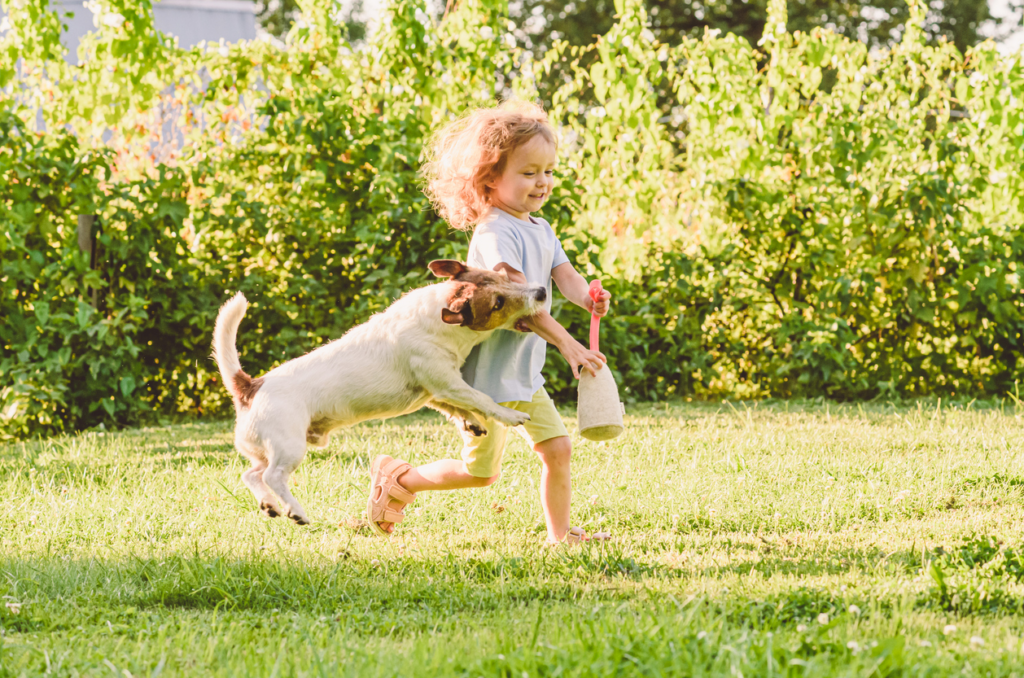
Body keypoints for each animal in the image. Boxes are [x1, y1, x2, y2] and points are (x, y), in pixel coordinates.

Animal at [211, 260, 548, 524]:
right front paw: (508, 414)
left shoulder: (433, 391)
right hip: (289, 446)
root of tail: (250, 386)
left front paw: (471, 422)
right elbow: (481, 399)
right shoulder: (445, 382)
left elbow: (457, 407)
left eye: (502, 277)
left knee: (252, 474)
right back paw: (295, 511)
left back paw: (268, 505)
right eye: (497, 303)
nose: (541, 292)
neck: (436, 318)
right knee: (272, 476)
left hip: (263, 449)